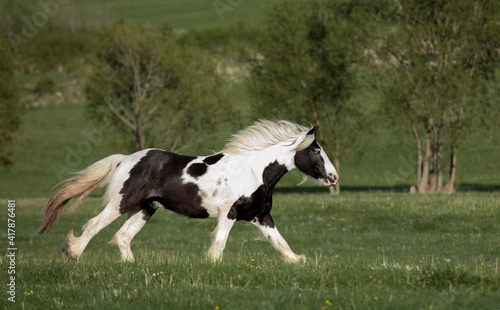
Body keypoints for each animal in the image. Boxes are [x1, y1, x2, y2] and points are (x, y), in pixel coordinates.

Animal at [38, 120, 336, 262]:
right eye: (315, 150)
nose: (333, 177)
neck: (254, 171)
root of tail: (125, 159)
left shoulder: (260, 216)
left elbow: (281, 244)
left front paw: (299, 261)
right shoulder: (229, 213)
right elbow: (219, 245)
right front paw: (213, 267)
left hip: (146, 209)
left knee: (122, 236)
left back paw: (132, 265)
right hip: (121, 204)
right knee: (93, 226)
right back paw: (73, 254)